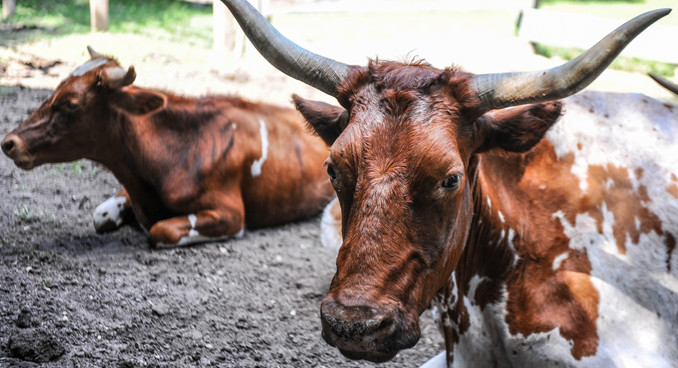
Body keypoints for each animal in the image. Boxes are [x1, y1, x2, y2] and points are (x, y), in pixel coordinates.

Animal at [1, 46, 336, 247]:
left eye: (71, 103)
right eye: (55, 87)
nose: (9, 142)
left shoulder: (231, 214)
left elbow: (158, 230)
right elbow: (101, 214)